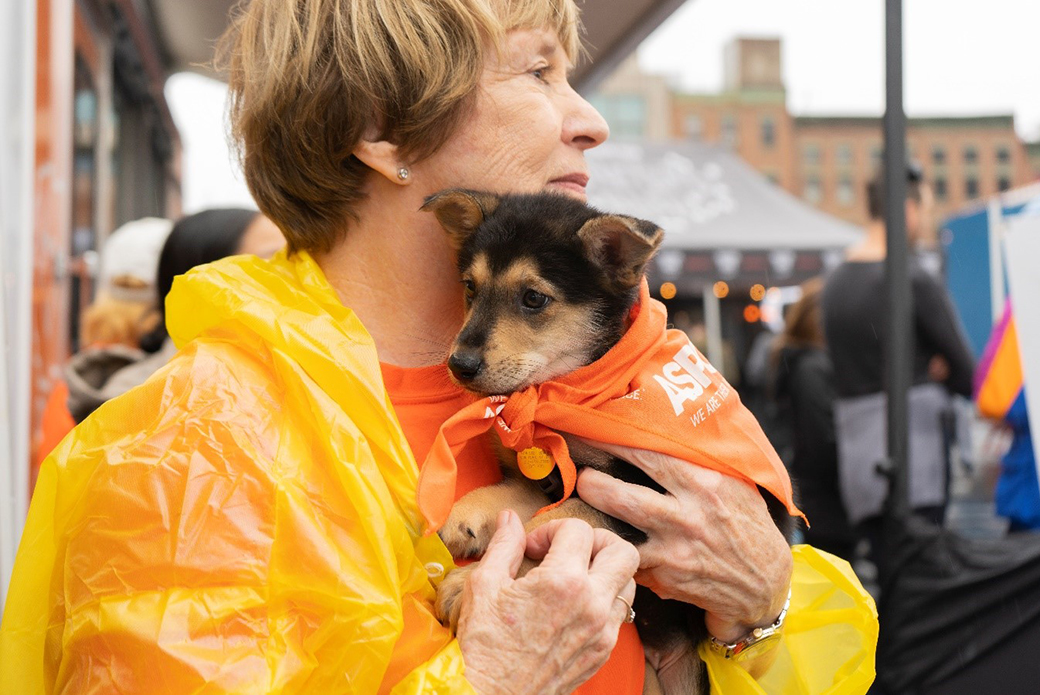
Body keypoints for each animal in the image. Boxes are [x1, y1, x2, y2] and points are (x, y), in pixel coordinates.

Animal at [422, 190, 794, 695]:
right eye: (470, 288)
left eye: (533, 298)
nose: (459, 365)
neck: (573, 392)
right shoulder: (551, 476)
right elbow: (524, 499)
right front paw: (468, 513)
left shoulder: (645, 496)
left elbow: (557, 520)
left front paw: (470, 583)